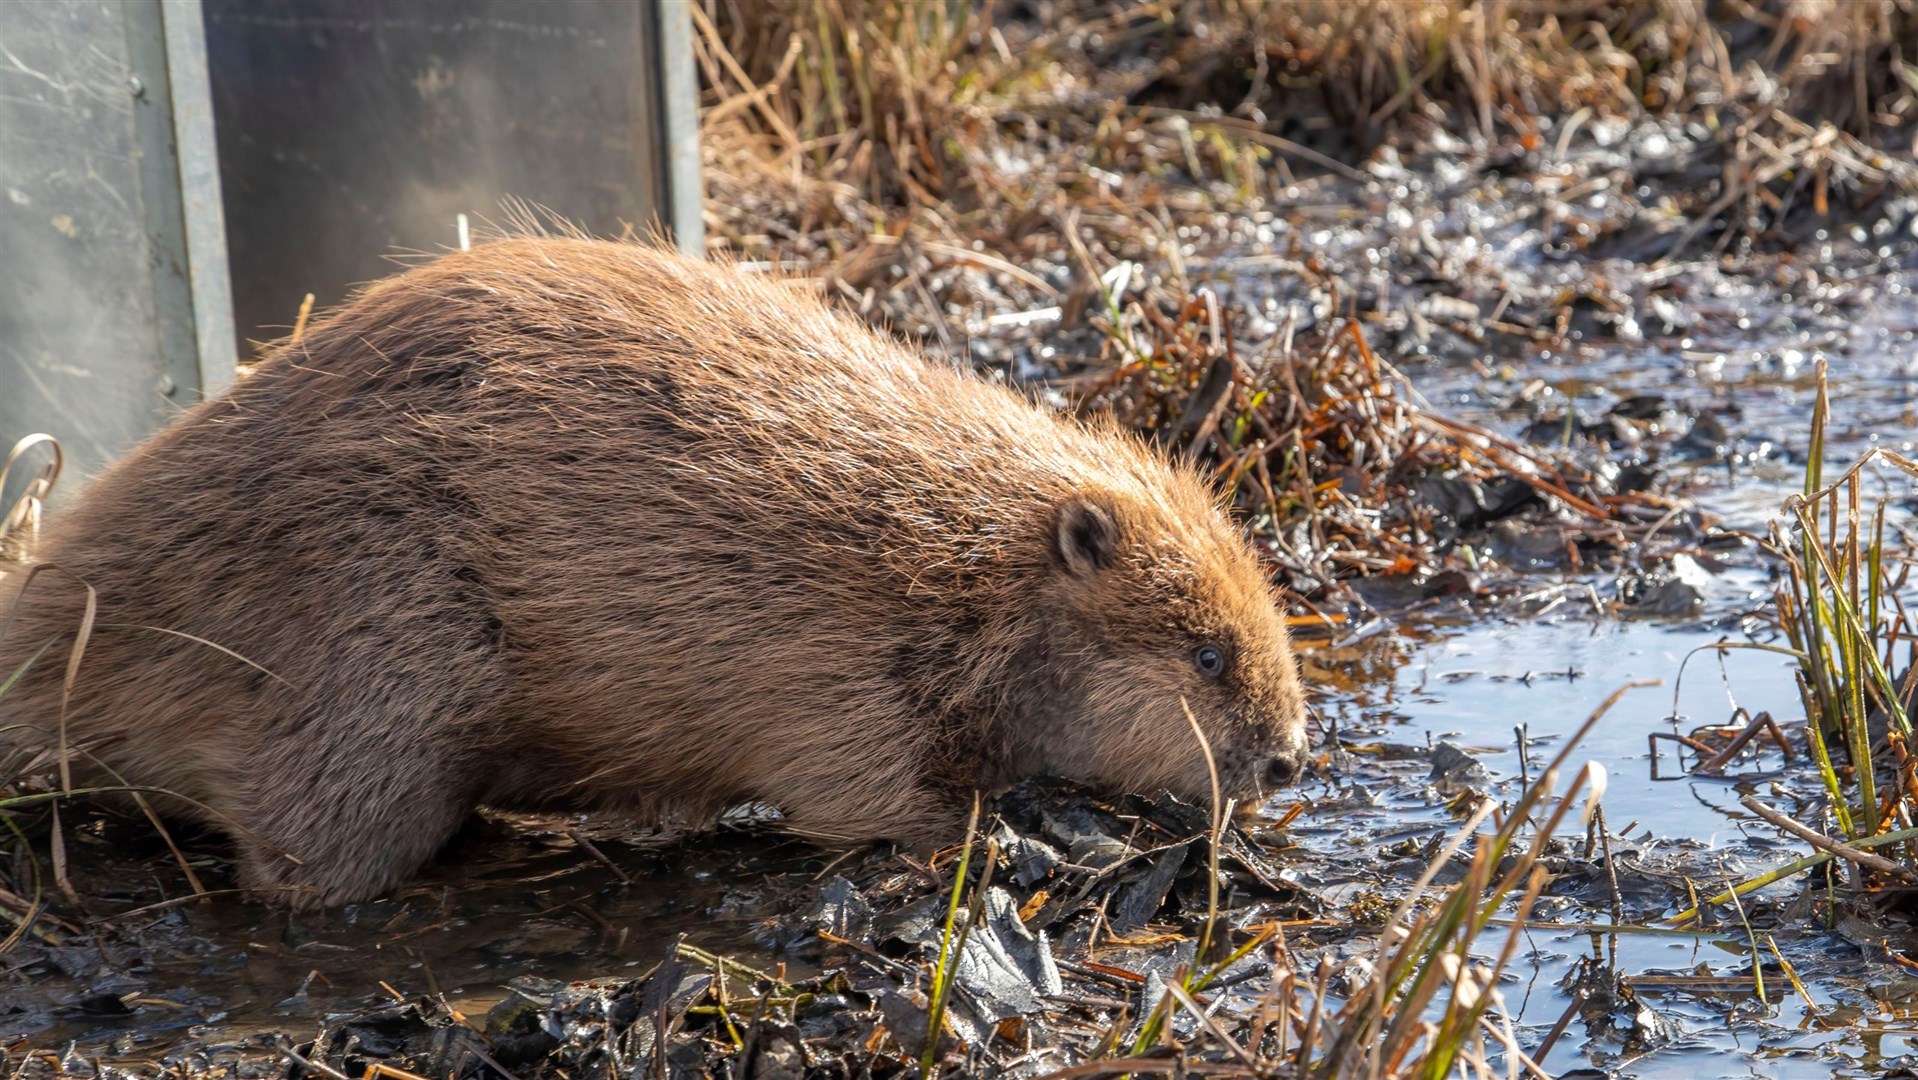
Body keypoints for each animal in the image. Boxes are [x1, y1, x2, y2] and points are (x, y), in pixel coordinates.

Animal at [0, 240, 1311, 909]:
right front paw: (1023, 835)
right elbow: (866, 795)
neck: (960, 553)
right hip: (367, 655)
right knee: (296, 864)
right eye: (1206, 653)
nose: (1288, 757)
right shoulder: (829, 667)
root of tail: (51, 616)